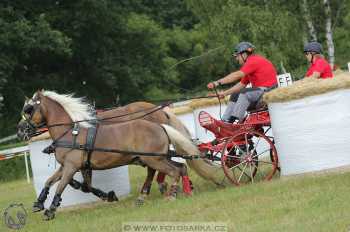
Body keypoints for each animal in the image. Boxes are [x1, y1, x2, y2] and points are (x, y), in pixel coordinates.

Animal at [18, 90, 200, 219]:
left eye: (28, 109)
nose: (20, 131)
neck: (70, 133)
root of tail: (160, 126)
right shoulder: (67, 166)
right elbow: (50, 181)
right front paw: (39, 202)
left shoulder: (71, 167)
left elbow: (61, 186)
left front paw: (50, 211)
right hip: (157, 158)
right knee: (180, 167)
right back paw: (183, 190)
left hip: (153, 159)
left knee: (172, 170)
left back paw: (170, 195)